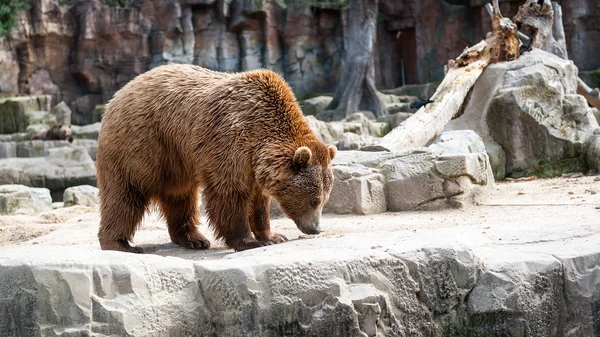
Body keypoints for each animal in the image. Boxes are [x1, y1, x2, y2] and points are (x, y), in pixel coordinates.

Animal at [96, 63, 336, 252]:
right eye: (314, 200)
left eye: (325, 199)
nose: (316, 229)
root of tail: (119, 94)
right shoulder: (228, 140)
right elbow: (229, 193)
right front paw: (248, 241)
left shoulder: (254, 166)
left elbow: (259, 201)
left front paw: (273, 236)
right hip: (143, 145)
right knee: (125, 194)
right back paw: (119, 243)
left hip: (176, 160)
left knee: (181, 196)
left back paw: (193, 239)